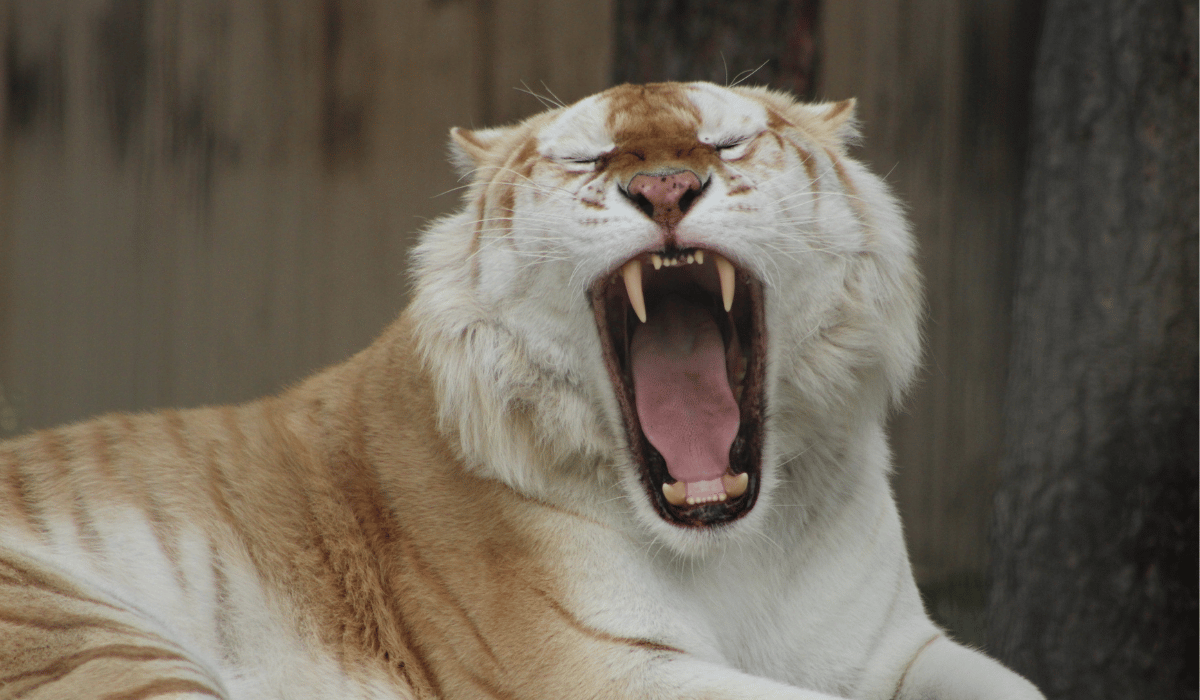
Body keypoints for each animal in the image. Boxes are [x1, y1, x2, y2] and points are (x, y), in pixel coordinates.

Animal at [0, 81, 1044, 700]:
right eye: (587, 158)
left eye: (726, 139)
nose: (667, 188)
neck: (738, 546)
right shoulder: (599, 668)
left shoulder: (895, 649)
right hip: (84, 637)